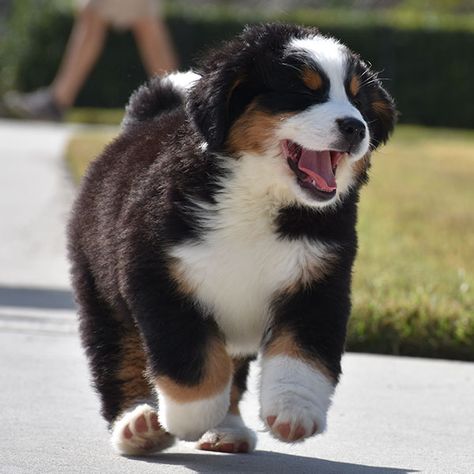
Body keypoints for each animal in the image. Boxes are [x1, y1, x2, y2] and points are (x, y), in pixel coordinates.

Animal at [67, 23, 396, 456]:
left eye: (358, 100)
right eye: (303, 92)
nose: (356, 127)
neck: (258, 196)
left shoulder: (318, 283)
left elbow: (302, 354)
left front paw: (293, 410)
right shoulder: (158, 276)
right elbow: (190, 359)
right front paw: (190, 416)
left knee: (234, 375)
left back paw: (227, 430)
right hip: (100, 294)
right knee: (119, 360)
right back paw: (136, 426)